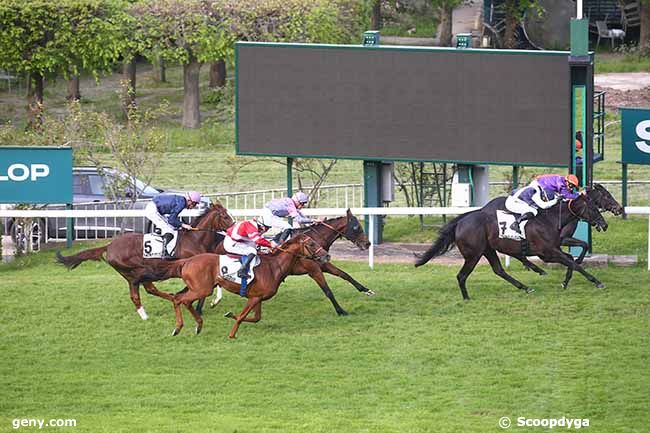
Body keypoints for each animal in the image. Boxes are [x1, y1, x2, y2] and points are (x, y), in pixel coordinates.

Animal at [55, 202, 233, 318]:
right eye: (225, 216)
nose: (233, 227)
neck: (195, 239)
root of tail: (109, 246)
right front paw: (202, 306)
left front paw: (210, 301)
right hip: (137, 270)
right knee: (143, 290)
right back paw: (159, 306)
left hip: (135, 273)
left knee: (145, 290)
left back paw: (162, 304)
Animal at [137, 233, 330, 338]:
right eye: (311, 243)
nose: (327, 256)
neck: (274, 266)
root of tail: (187, 261)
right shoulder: (254, 298)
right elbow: (243, 317)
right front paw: (232, 334)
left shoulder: (257, 298)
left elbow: (255, 317)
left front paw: (229, 315)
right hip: (202, 289)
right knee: (179, 299)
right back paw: (178, 328)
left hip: (198, 288)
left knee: (183, 300)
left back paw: (198, 325)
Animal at [416, 195, 608, 300]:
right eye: (593, 208)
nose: (604, 225)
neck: (550, 219)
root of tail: (460, 222)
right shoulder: (547, 252)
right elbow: (573, 263)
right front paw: (596, 281)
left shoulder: (555, 249)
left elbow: (571, 260)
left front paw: (566, 281)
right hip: (474, 255)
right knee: (462, 276)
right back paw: (466, 298)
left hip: (488, 250)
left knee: (499, 270)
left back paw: (525, 287)